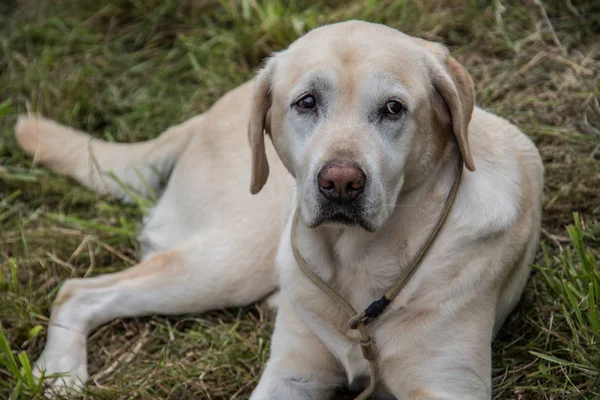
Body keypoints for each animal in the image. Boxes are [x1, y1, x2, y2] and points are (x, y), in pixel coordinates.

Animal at [17, 19, 544, 400]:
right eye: (306, 102)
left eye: (394, 108)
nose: (340, 183)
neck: (359, 265)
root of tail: (201, 116)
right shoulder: (292, 374)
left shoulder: (448, 385)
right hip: (232, 260)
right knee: (78, 289)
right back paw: (61, 376)